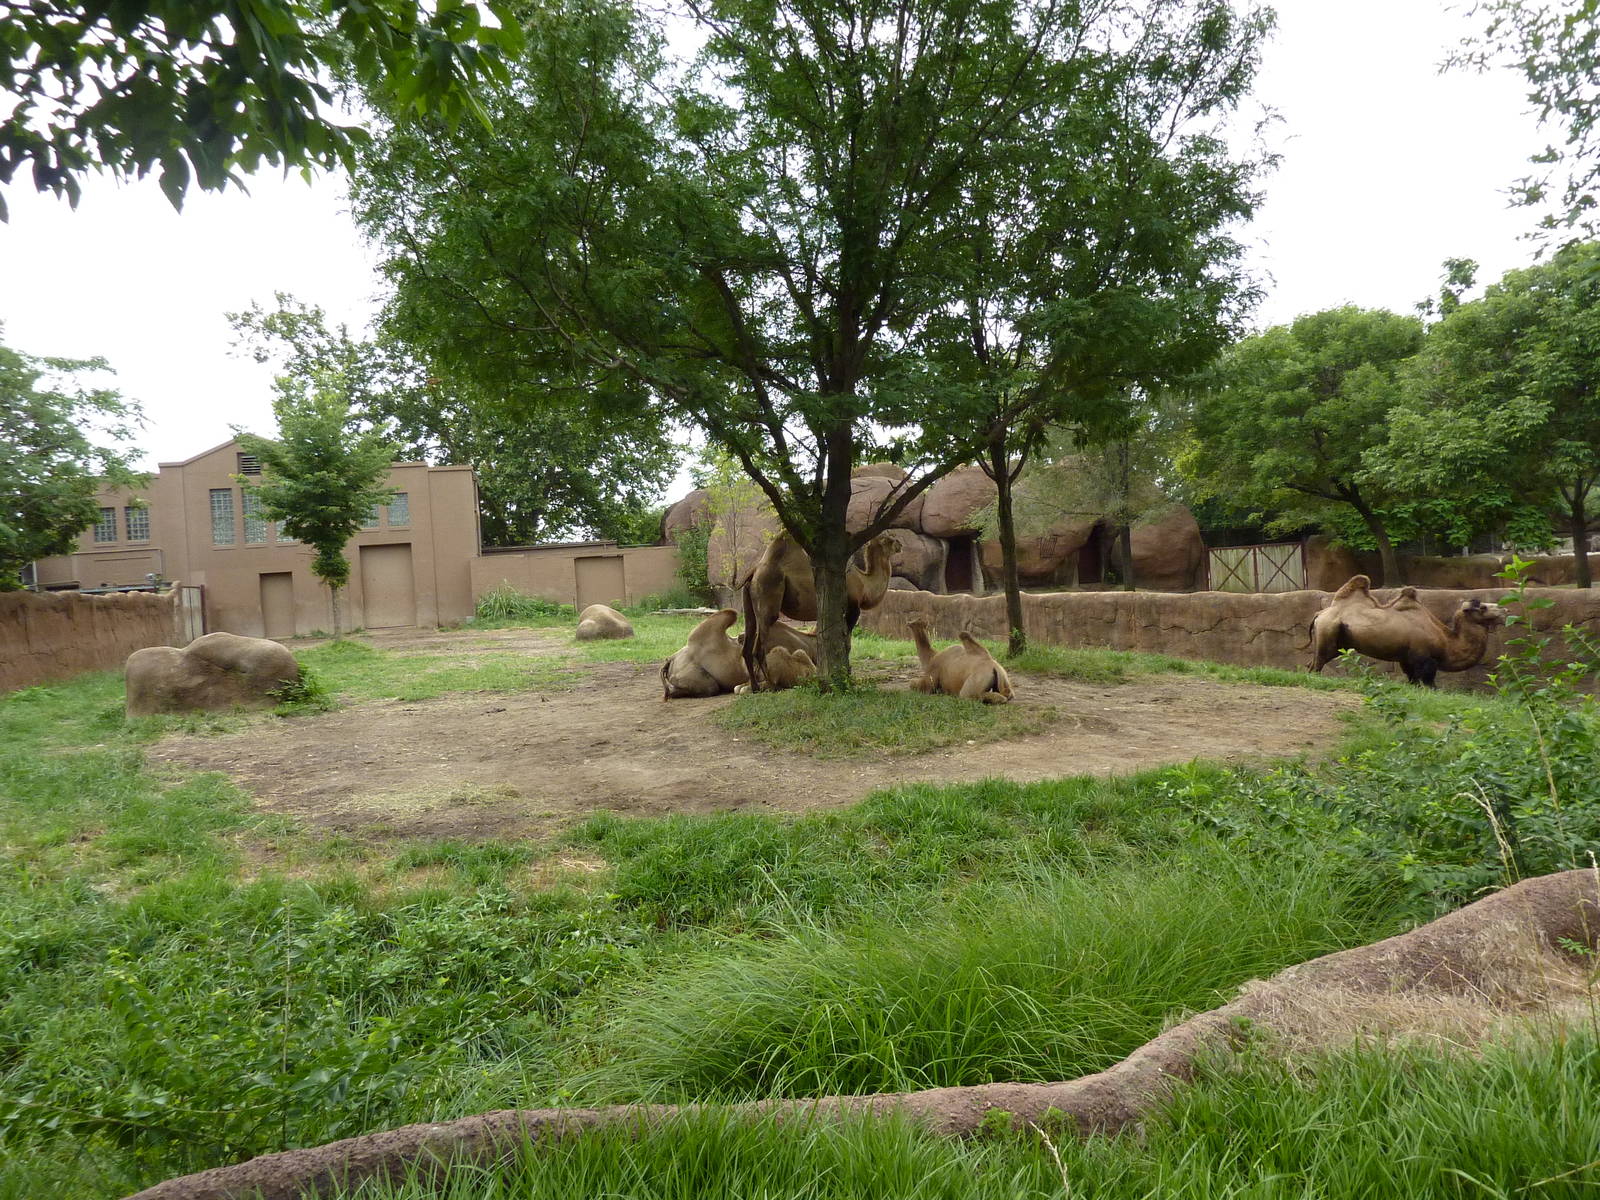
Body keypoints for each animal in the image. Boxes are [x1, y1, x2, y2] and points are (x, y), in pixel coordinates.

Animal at [740, 533, 893, 689]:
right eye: (888, 540)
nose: (899, 544)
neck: (863, 584)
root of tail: (754, 571)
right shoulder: (853, 608)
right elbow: (847, 644)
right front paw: (846, 674)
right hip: (767, 590)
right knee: (759, 646)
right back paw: (771, 685)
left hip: (749, 601)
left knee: (747, 645)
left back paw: (755, 687)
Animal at [1308, 574, 1506, 686]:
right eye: (1483, 608)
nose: (1504, 610)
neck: (1446, 642)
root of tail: (1319, 613)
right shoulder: (1423, 658)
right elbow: (1428, 684)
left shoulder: (1406, 659)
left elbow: (1413, 682)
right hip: (1328, 633)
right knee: (1317, 664)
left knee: (1312, 663)